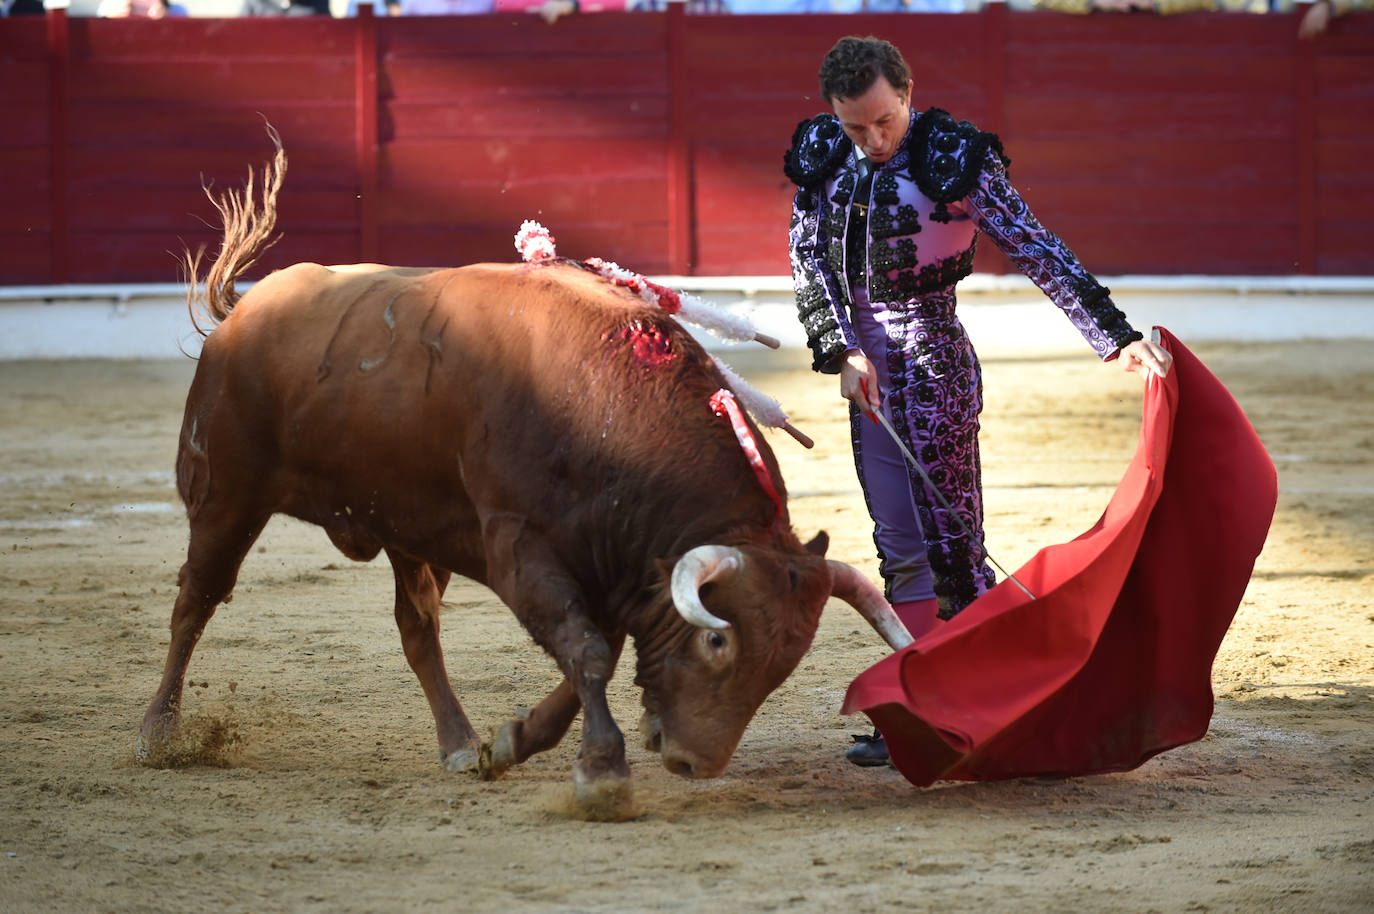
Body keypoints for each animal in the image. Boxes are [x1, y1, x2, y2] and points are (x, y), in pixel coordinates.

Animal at [136, 135, 912, 813]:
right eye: (719, 640)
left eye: (785, 661)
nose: (695, 763)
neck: (605, 408)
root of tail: (244, 310)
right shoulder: (517, 543)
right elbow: (585, 649)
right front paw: (602, 775)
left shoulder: (611, 564)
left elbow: (591, 656)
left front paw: (511, 744)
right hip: (227, 495)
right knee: (195, 600)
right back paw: (158, 735)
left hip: (406, 526)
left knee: (417, 626)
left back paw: (459, 744)